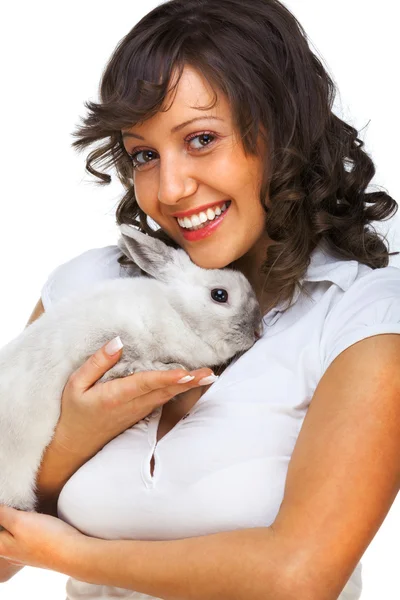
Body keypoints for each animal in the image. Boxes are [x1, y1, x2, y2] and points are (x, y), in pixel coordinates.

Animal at [0, 223, 262, 524]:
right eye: (219, 295)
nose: (258, 331)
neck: (177, 312)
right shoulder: (110, 339)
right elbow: (130, 361)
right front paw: (164, 368)